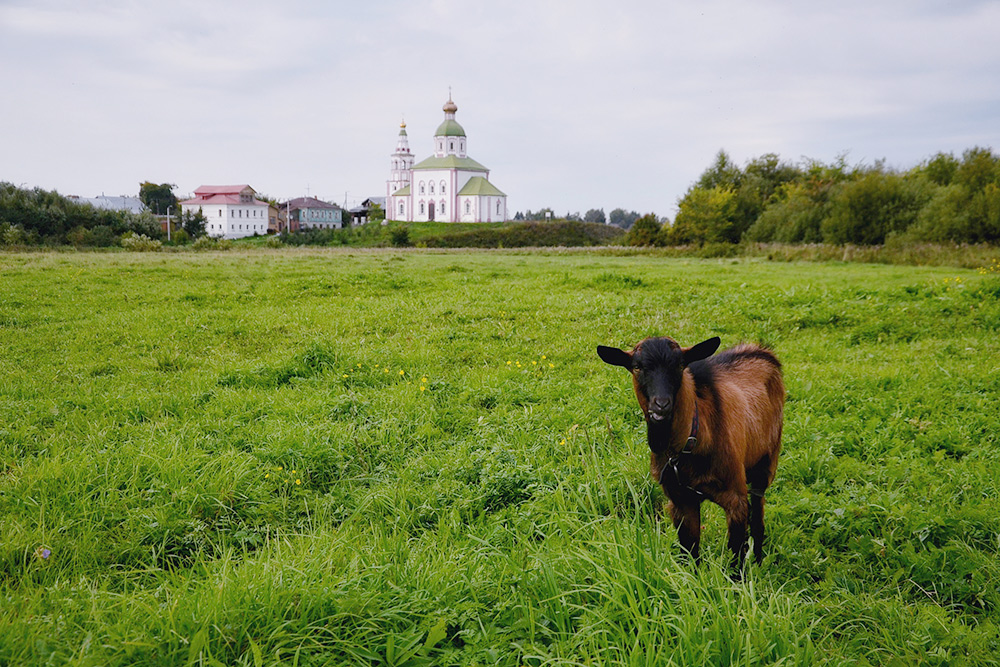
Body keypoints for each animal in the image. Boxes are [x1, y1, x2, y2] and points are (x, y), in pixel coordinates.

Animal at [596, 336, 784, 572]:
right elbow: (690, 553)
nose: (661, 405)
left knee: (758, 517)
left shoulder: (736, 497)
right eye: (637, 367)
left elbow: (735, 557)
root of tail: (762, 350)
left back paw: (758, 562)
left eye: (679, 365)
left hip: (766, 463)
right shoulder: (680, 500)